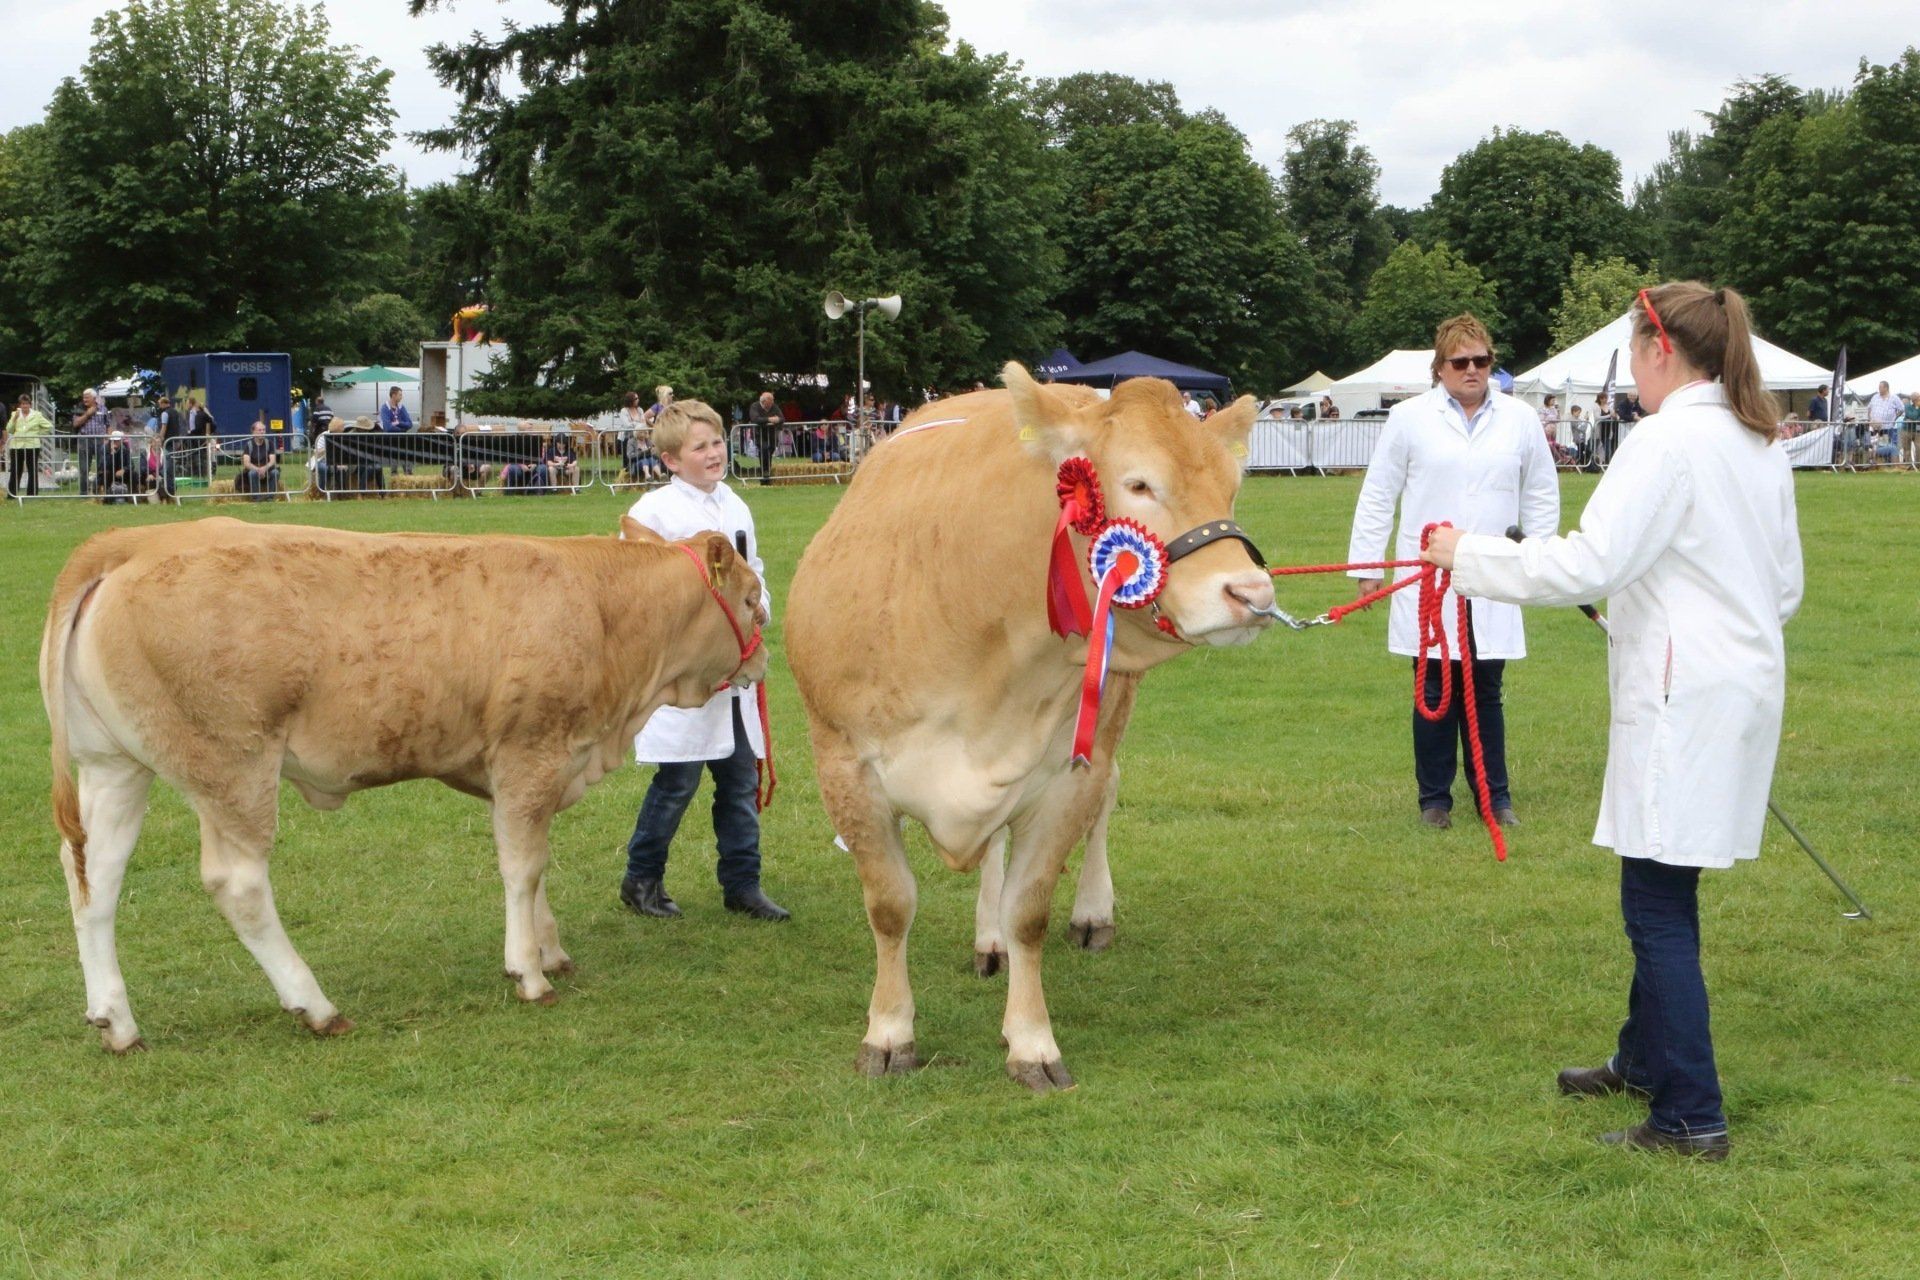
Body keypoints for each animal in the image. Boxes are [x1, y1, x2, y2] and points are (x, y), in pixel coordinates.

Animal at [42, 516, 767, 1053]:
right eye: (753, 598)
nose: (761, 662)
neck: (599, 608)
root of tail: (136, 541)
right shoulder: (529, 753)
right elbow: (524, 866)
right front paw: (530, 973)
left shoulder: (527, 773)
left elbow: (533, 865)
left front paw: (548, 948)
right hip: (232, 766)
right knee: (238, 885)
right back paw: (315, 1005)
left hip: (114, 766)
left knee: (91, 877)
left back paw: (116, 1020)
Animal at [786, 366, 1274, 1092]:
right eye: (1138, 484)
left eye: (1231, 486)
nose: (1252, 594)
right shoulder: (844, 765)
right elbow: (891, 905)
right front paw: (888, 1032)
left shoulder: (1069, 774)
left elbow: (1030, 910)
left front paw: (1032, 1042)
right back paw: (985, 940)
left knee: (1105, 798)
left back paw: (1091, 913)